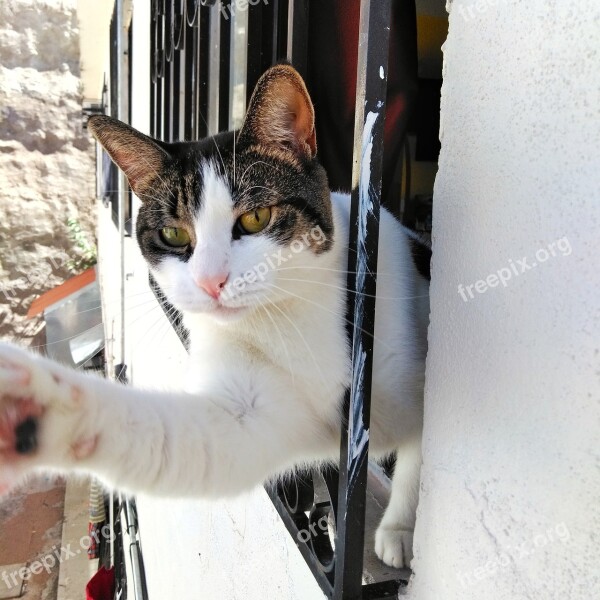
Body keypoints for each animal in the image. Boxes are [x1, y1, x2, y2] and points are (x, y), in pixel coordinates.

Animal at [1, 63, 432, 568]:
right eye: (173, 234)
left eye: (255, 218)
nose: (210, 281)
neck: (291, 318)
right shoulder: (247, 409)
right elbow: (185, 441)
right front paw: (36, 403)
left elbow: (424, 459)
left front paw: (402, 528)